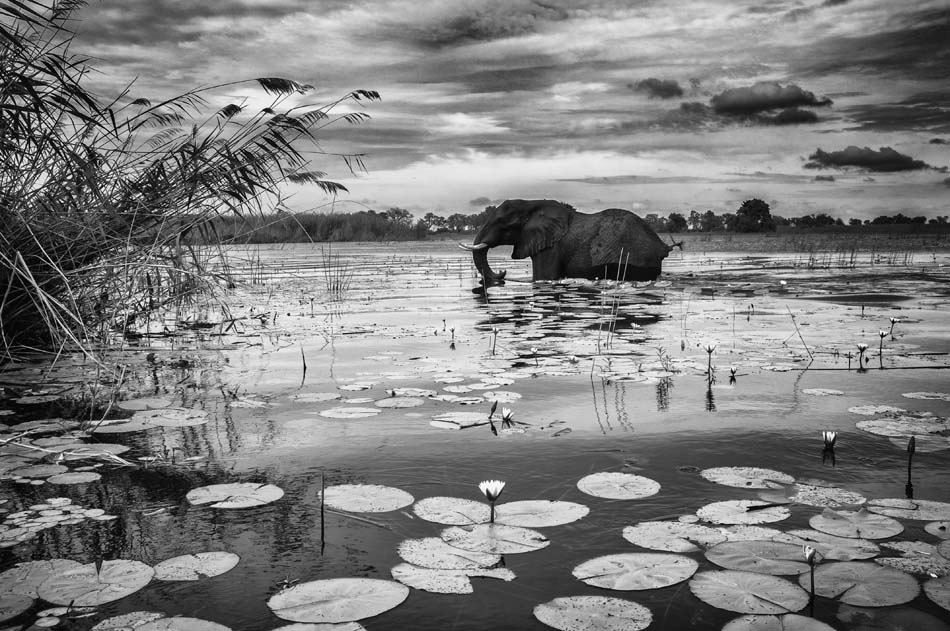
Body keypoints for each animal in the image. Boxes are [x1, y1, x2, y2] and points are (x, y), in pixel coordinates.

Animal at [460, 199, 676, 284]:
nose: (502, 273)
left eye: (502, 224)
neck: (532, 204)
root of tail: (661, 246)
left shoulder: (551, 247)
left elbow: (543, 277)